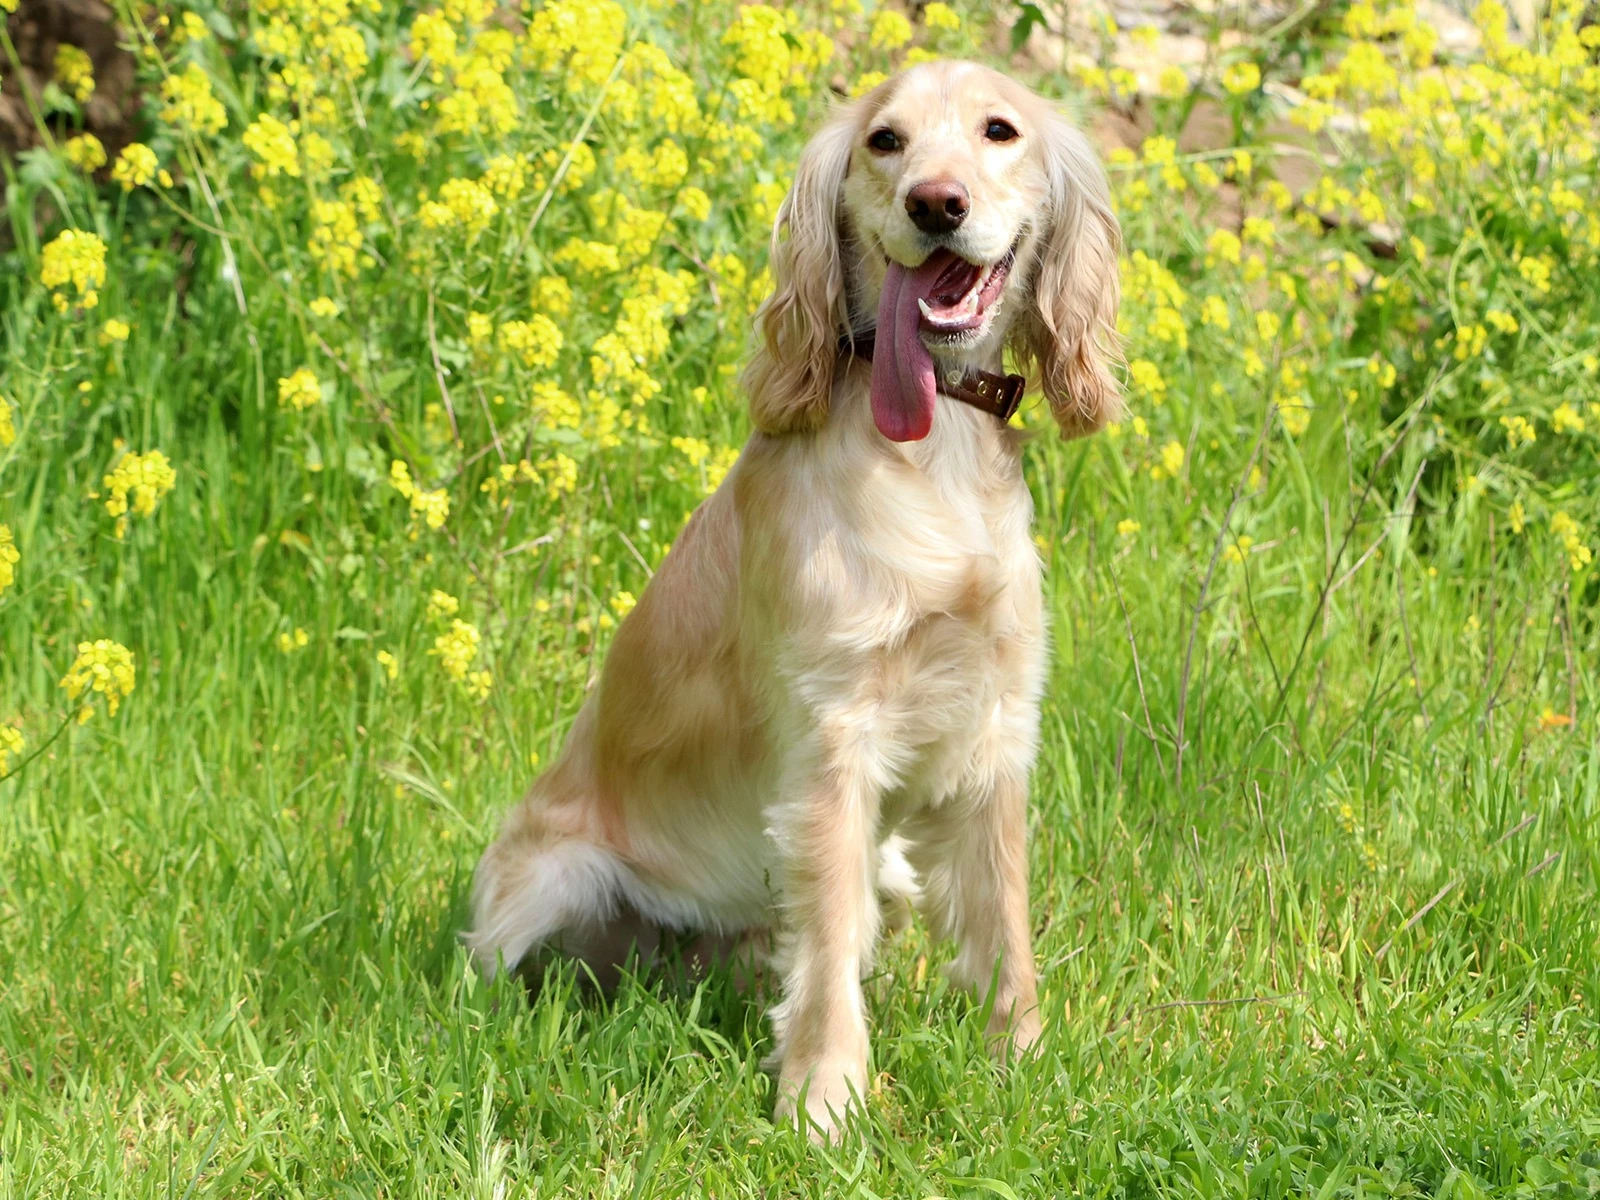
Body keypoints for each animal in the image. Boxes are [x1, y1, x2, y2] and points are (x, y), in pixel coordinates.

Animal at [467, 58, 1120, 1145]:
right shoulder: (831, 742)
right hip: (549, 880)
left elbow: (1003, 925)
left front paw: (1020, 1060)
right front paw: (824, 1100)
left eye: (999, 131)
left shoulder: (994, 730)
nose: (935, 204)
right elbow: (825, 954)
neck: (934, 448)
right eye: (885, 141)